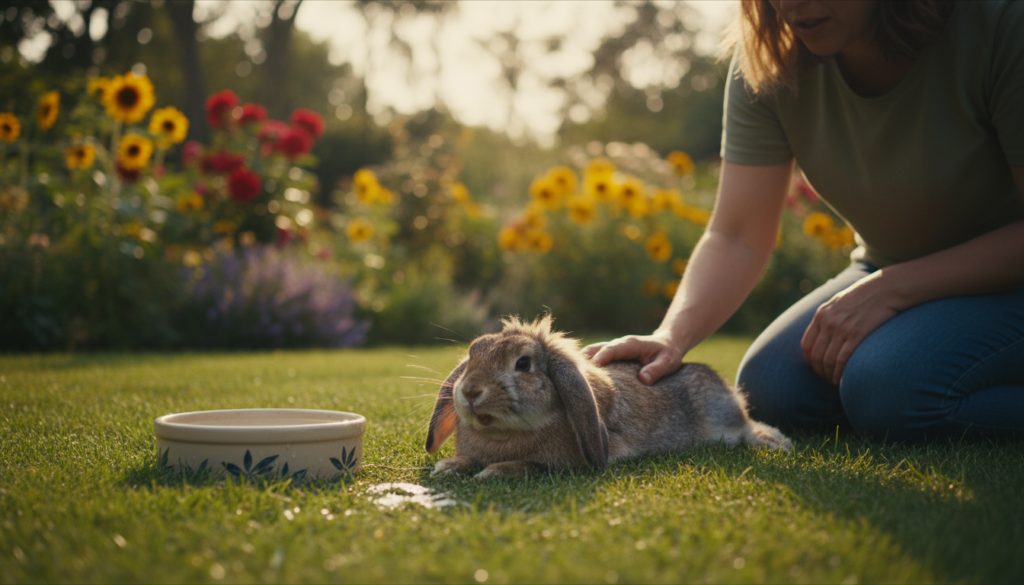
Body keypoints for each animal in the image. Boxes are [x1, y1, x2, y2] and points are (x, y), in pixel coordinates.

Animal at [425, 315, 791, 479]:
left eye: (524, 364)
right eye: (473, 353)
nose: (470, 392)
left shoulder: (559, 464)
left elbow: (528, 465)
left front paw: (491, 473)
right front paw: (446, 467)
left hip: (725, 423)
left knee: (747, 428)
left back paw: (775, 442)